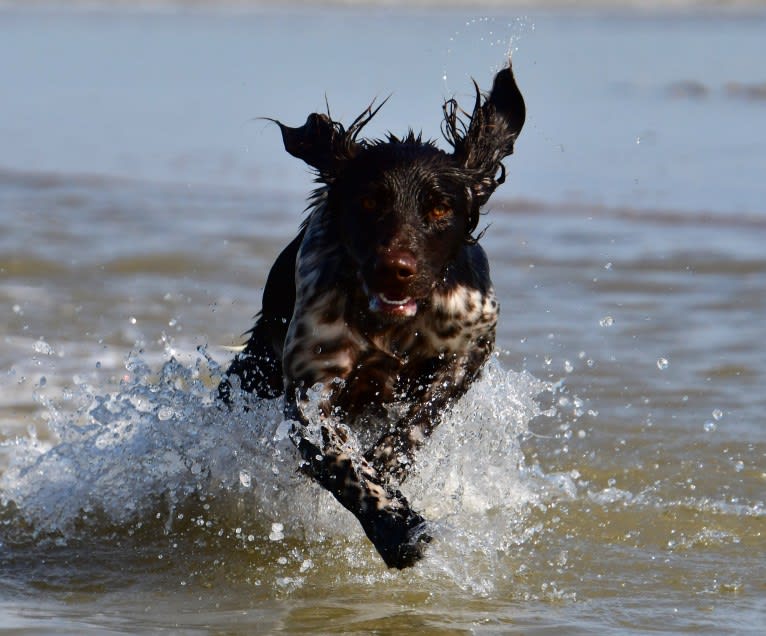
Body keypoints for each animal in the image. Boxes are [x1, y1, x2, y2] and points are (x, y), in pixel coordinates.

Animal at [219, 62, 524, 568]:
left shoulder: (473, 344)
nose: (394, 269)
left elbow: (419, 420)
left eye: (440, 208)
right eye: (368, 202)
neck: (393, 328)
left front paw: (388, 469)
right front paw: (395, 528)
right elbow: (343, 464)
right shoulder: (310, 385)